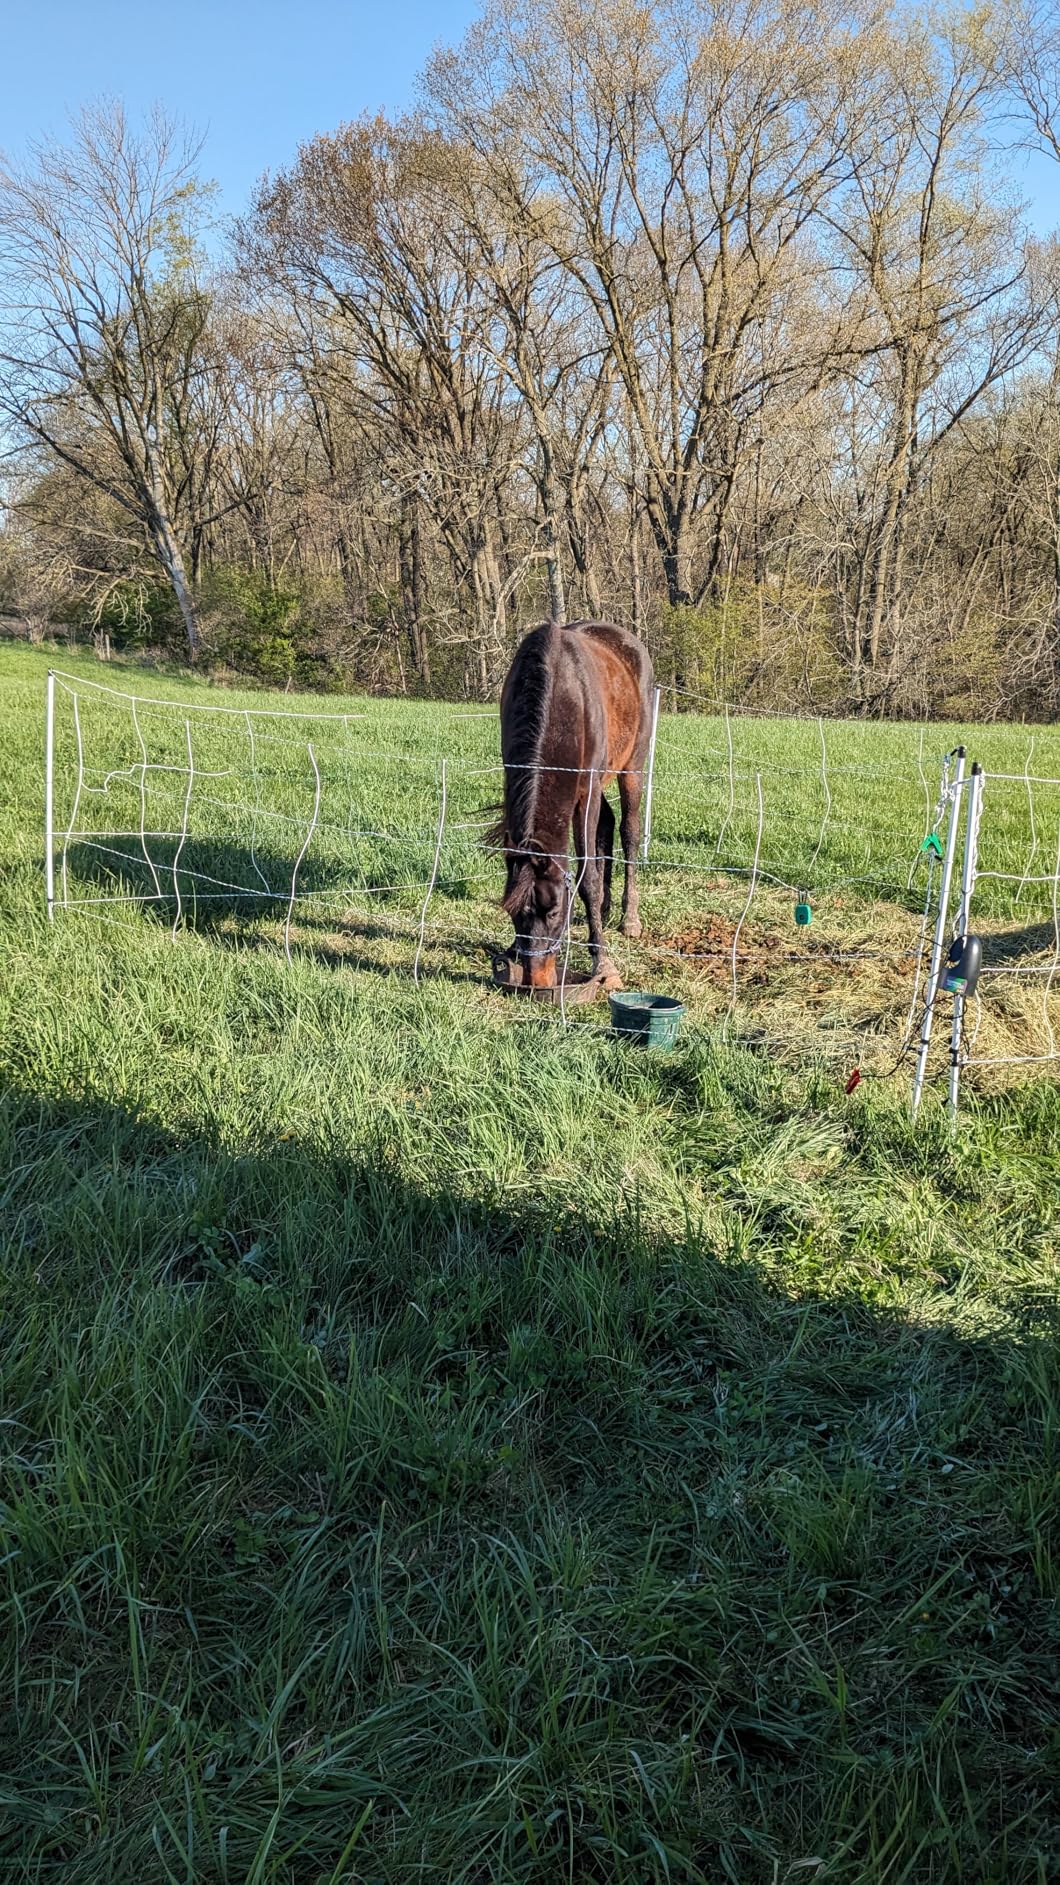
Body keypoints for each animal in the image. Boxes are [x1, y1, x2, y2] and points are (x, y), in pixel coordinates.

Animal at [488, 620, 655, 989]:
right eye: (513, 913)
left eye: (553, 912)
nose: (537, 981)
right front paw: (512, 950)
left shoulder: (586, 794)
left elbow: (586, 877)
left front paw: (603, 963)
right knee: (607, 824)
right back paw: (605, 910)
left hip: (632, 768)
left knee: (629, 831)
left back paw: (629, 917)